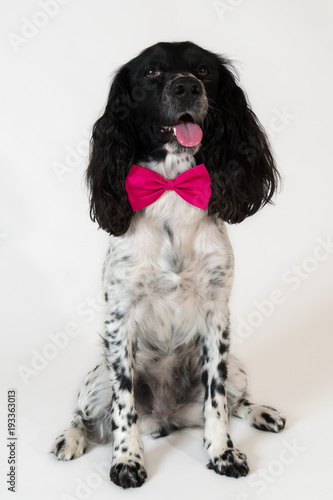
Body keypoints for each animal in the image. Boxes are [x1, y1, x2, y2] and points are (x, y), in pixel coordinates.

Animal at [52, 42, 286, 488]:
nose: (186, 87)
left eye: (204, 70)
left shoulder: (217, 315)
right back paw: (69, 438)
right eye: (151, 72)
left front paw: (222, 452)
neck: (173, 189)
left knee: (238, 400)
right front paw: (127, 461)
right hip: (96, 378)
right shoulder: (120, 317)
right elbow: (123, 405)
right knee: (83, 416)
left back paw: (263, 412)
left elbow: (218, 401)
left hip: (238, 367)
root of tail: (166, 417)